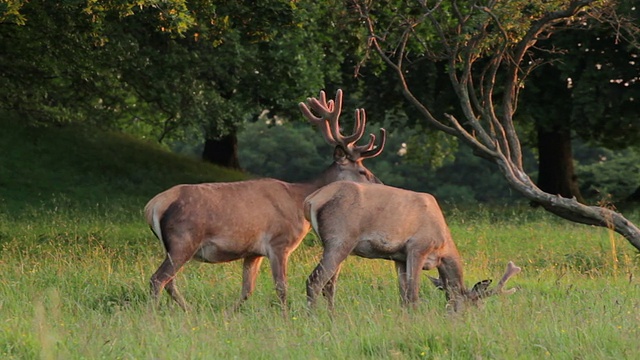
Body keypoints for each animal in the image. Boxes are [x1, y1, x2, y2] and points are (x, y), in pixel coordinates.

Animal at [145, 90, 384, 312]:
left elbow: (247, 289)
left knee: (170, 282)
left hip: (173, 246)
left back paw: (189, 311)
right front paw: (286, 318)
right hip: (183, 240)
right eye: (362, 171)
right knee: (158, 279)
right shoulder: (279, 242)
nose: (381, 185)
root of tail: (152, 206)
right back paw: (153, 316)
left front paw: (229, 315)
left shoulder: (253, 252)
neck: (299, 201)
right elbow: (281, 287)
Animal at [304, 181, 520, 310]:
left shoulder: (398, 257)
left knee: (329, 285)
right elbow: (413, 294)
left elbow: (403, 296)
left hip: (338, 245)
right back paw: (314, 318)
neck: (443, 247)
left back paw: (332, 317)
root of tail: (311, 200)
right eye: (475, 304)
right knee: (315, 281)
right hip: (339, 239)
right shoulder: (418, 248)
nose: (465, 319)